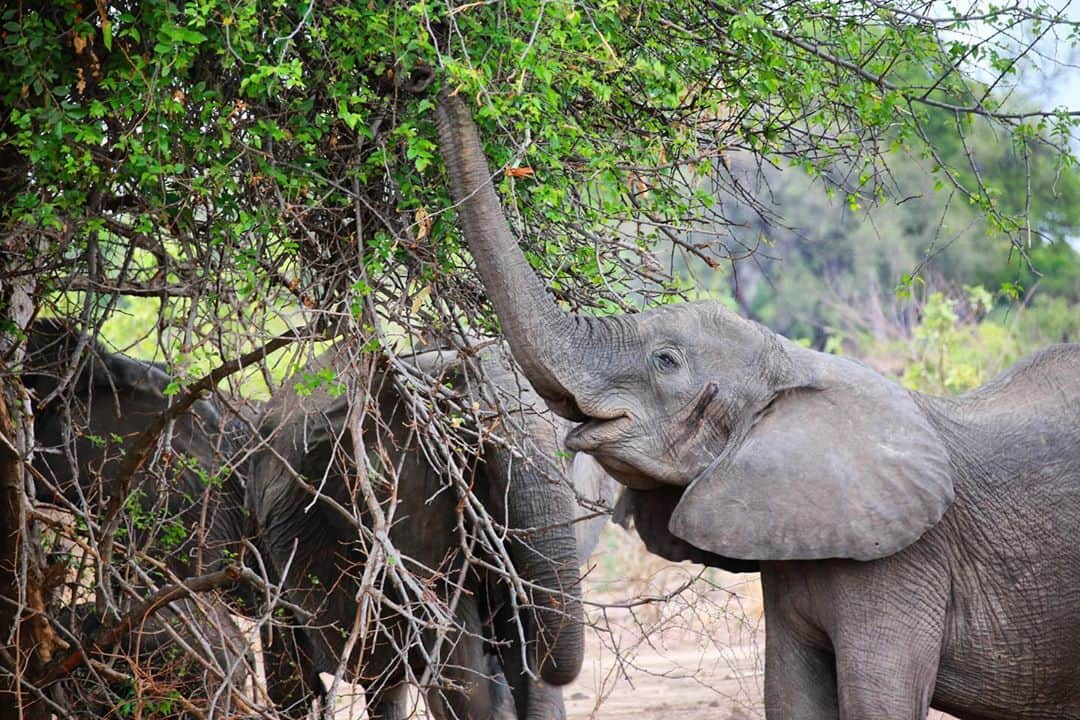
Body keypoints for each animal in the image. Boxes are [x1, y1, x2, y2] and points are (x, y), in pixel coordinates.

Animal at [247, 338, 617, 720]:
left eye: (571, 453)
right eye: (474, 447)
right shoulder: (403, 495)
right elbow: (462, 668)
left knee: (385, 684)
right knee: (293, 677)